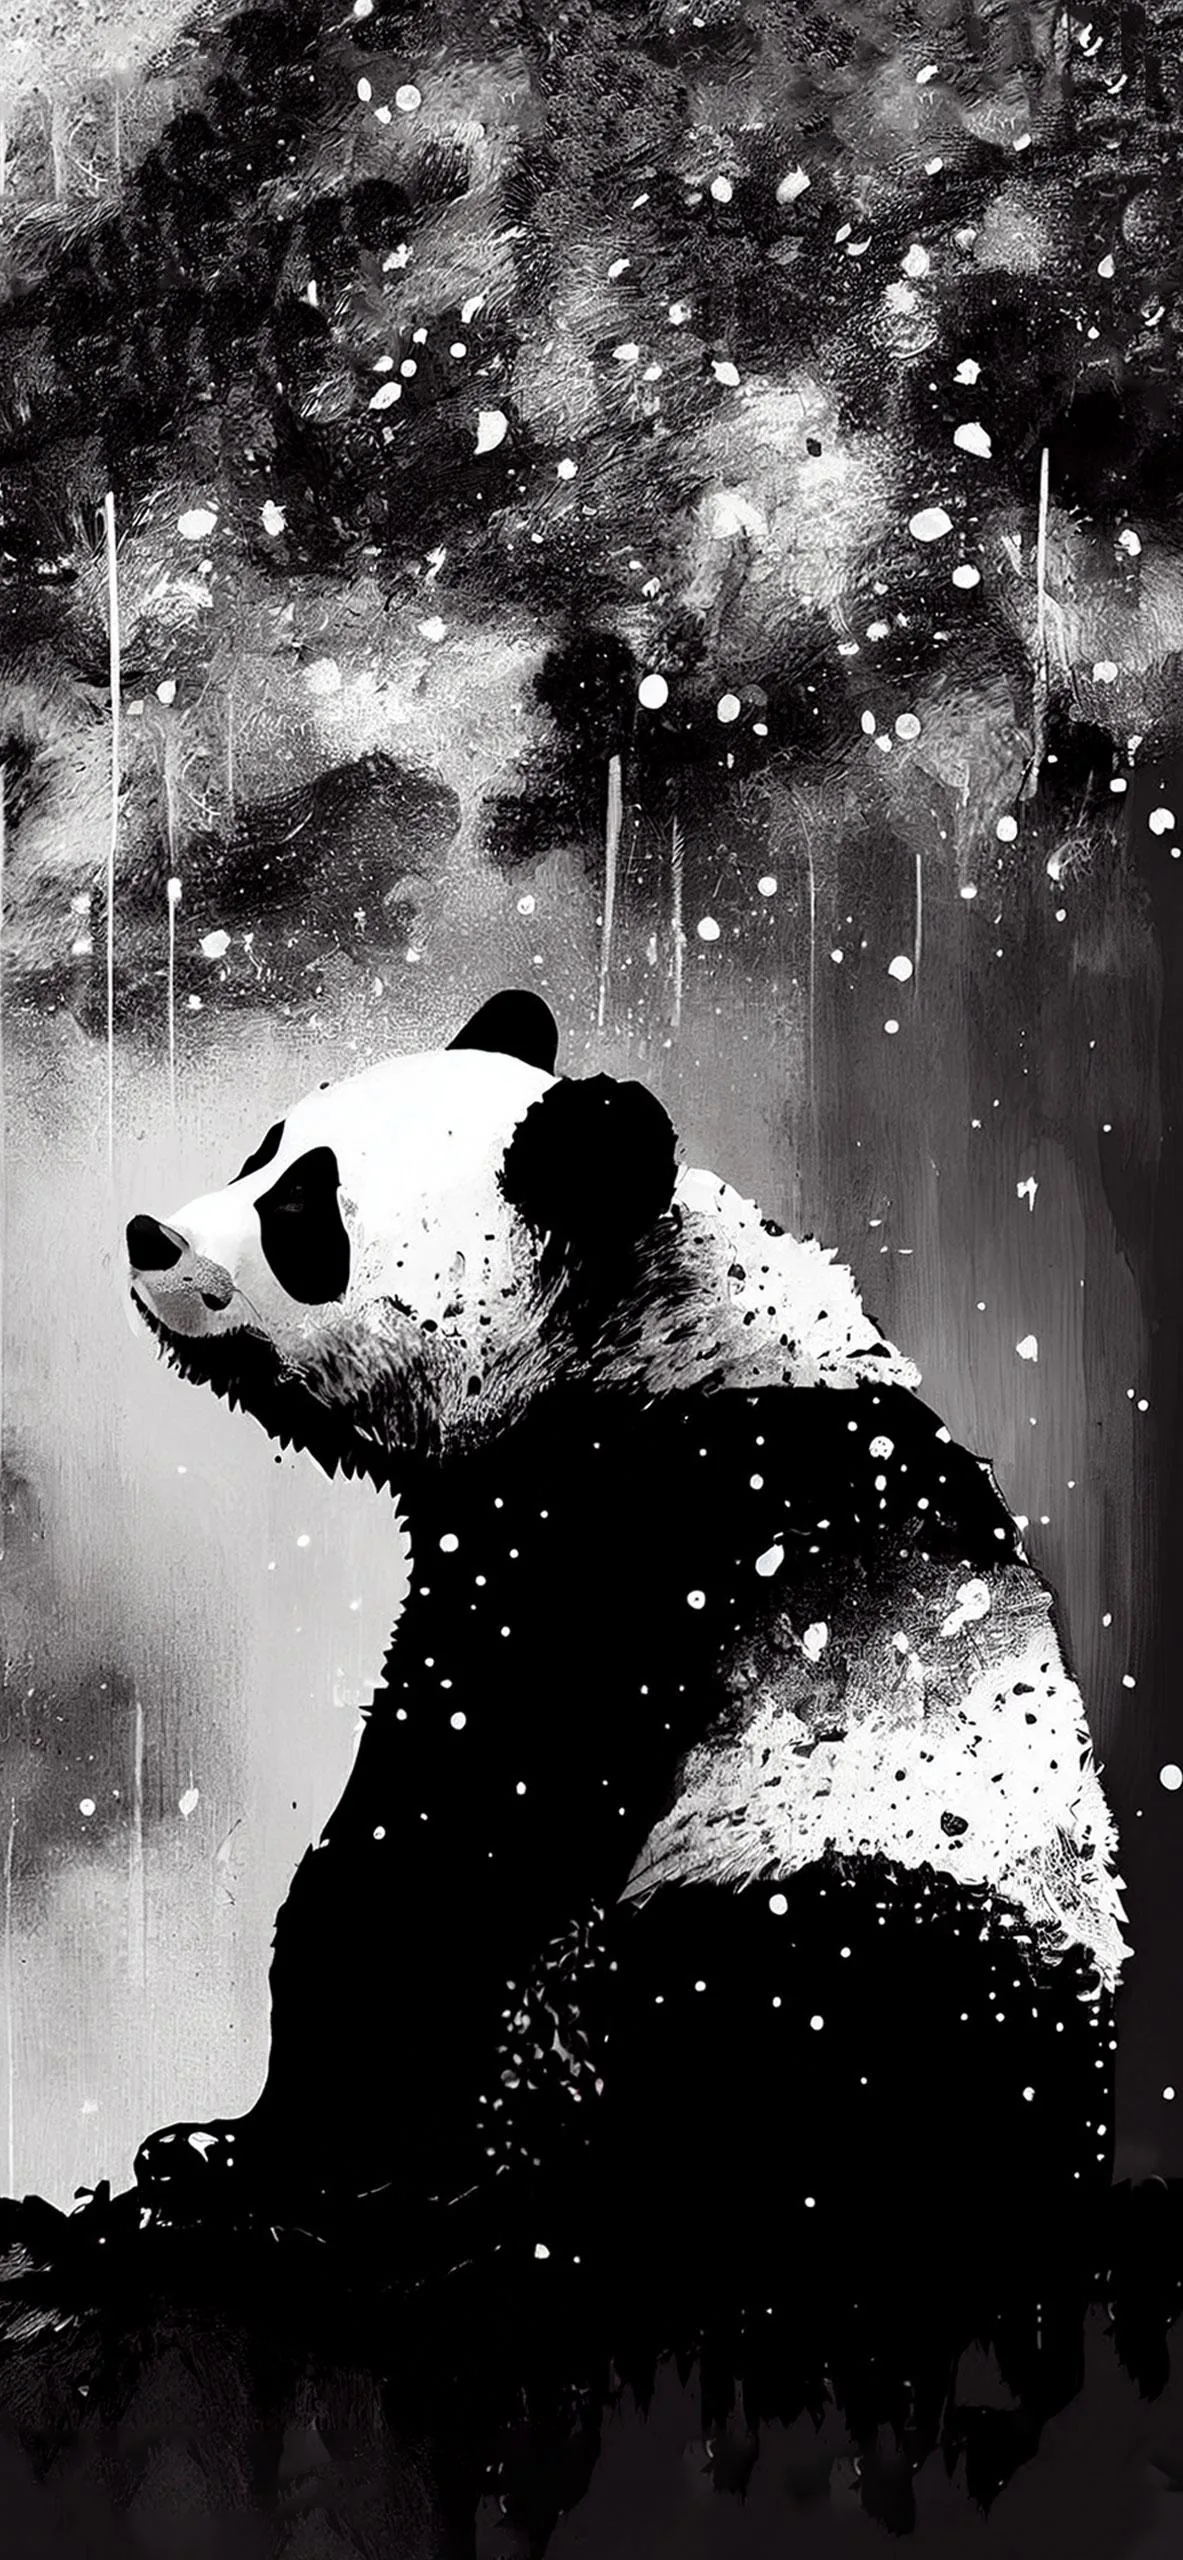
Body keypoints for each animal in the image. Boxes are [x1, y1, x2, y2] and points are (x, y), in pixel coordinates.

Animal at [125, 989, 1125, 2334]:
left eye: (305, 1215)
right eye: (260, 1151)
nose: (150, 1238)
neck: (635, 1325)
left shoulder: (638, 1539)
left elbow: (449, 1831)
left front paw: (255, 2156)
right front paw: (223, 2147)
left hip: (857, 1919)